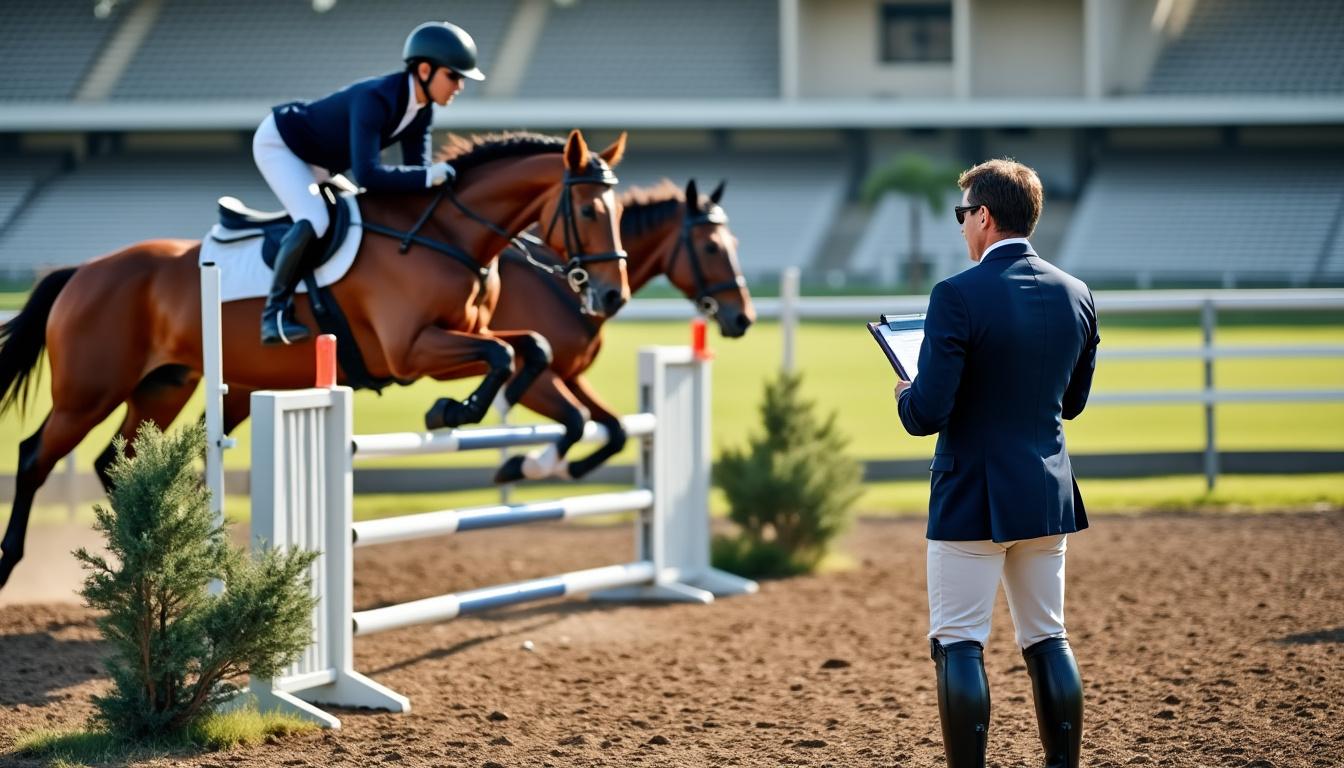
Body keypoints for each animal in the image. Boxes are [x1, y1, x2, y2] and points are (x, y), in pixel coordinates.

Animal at [0, 129, 630, 591]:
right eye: (588, 211)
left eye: (618, 212)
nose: (611, 297)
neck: (446, 236)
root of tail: (83, 270)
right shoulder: (412, 351)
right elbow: (502, 354)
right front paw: (450, 412)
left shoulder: (464, 337)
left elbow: (532, 352)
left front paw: (506, 439)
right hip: (89, 391)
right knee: (35, 457)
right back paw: (12, 564)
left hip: (162, 386)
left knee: (115, 460)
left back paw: (144, 562)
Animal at [488, 178, 755, 483]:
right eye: (711, 247)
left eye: (734, 243)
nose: (744, 318)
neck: (567, 286)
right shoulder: (534, 378)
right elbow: (577, 419)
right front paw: (520, 465)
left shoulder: (571, 377)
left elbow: (617, 431)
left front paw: (567, 467)